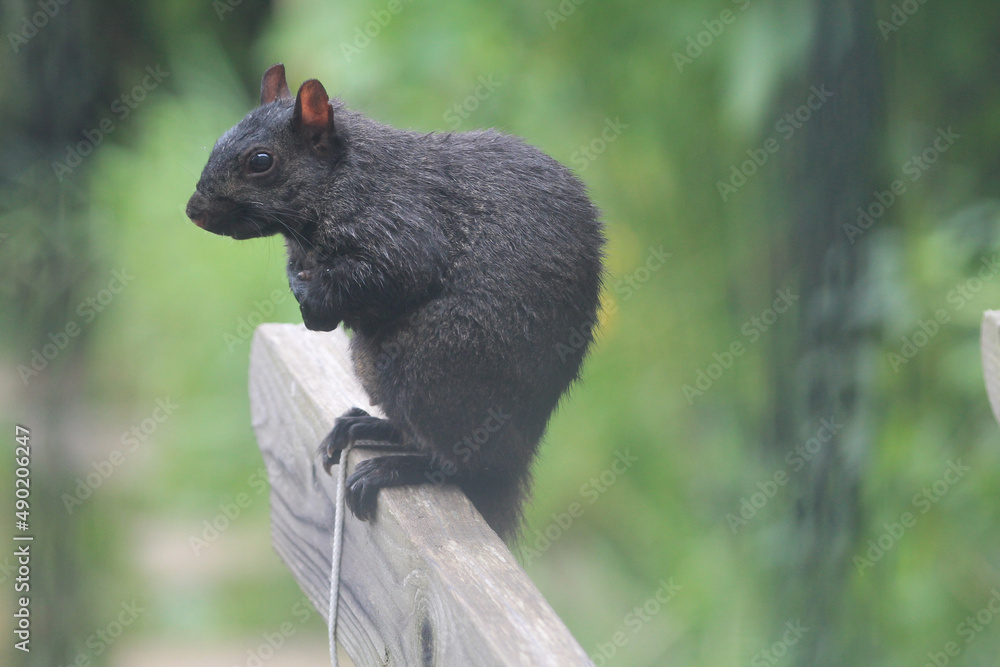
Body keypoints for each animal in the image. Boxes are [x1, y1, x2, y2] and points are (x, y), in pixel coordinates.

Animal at [188, 64, 608, 544]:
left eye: (260, 161)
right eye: (220, 140)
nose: (193, 210)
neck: (343, 179)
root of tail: (522, 452)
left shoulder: (403, 226)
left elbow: (396, 275)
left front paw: (315, 300)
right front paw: (305, 294)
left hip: (431, 364)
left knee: (465, 464)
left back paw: (396, 467)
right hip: (377, 365)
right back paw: (368, 426)